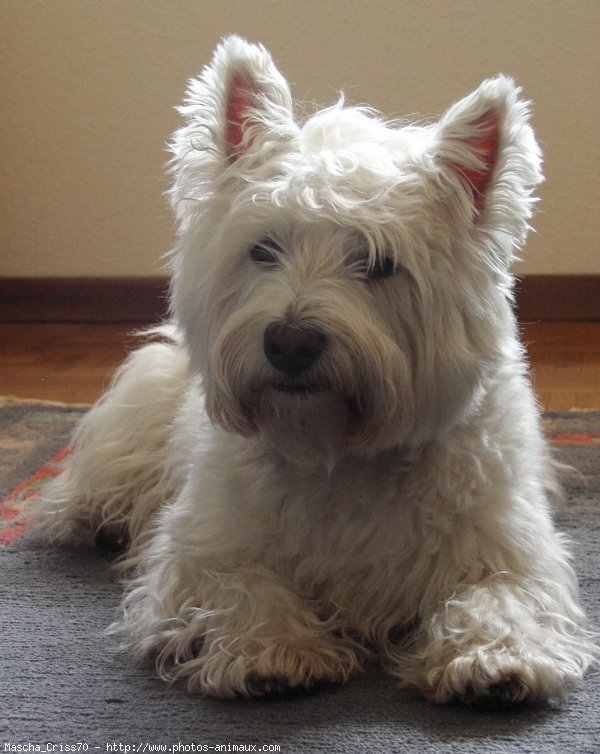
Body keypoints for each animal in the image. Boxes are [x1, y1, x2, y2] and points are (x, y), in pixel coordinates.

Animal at [35, 35, 596, 704]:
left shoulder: (510, 547)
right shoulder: (202, 546)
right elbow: (241, 584)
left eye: (380, 264)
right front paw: (272, 651)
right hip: (146, 394)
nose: (289, 343)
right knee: (100, 472)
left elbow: (502, 594)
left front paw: (496, 659)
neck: (338, 452)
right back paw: (86, 516)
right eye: (263, 249)